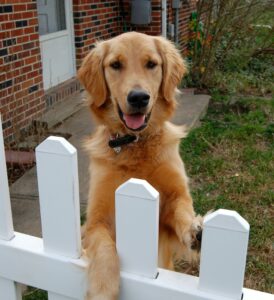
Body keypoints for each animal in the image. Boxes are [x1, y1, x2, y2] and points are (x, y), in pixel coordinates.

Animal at [78, 31, 202, 298]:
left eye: (151, 64)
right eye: (115, 65)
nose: (138, 97)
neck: (135, 144)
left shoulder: (174, 199)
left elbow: (183, 210)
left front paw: (194, 230)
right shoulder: (95, 221)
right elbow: (105, 249)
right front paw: (103, 289)